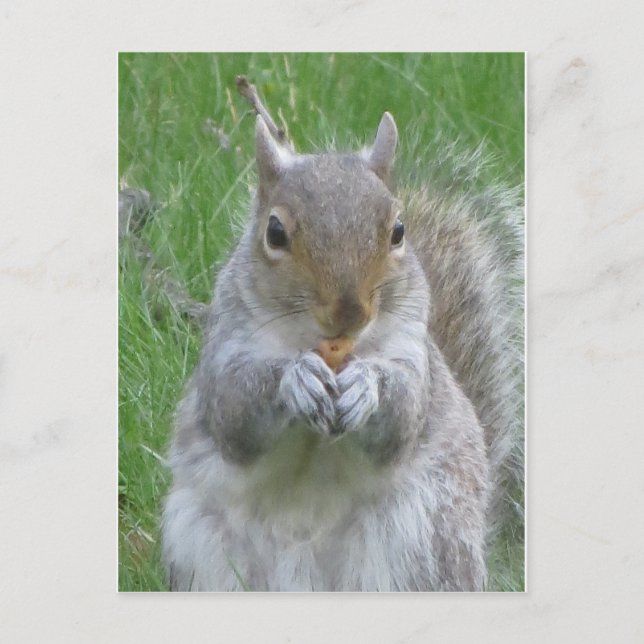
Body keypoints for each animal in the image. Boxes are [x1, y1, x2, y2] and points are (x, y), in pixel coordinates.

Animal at [161, 111, 524, 591]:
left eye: (399, 230)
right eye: (274, 232)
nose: (349, 312)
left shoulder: (413, 353)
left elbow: (404, 412)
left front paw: (365, 387)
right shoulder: (225, 347)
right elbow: (234, 411)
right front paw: (295, 379)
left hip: (423, 535)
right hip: (203, 548)